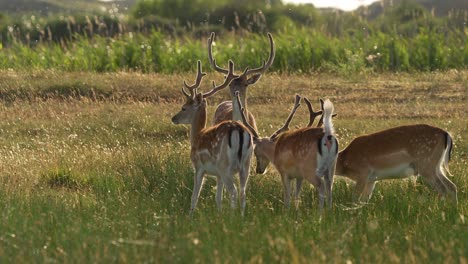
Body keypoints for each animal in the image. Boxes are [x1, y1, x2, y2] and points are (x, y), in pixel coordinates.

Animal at [171, 60, 254, 217]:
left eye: (184, 107)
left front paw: (190, 216)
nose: (173, 118)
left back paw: (232, 218)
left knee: (234, 192)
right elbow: (218, 197)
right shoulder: (218, 175)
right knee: (243, 193)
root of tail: (239, 130)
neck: (197, 135)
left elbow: (194, 195)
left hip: (225, 165)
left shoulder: (198, 166)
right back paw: (241, 217)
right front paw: (218, 214)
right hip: (246, 164)